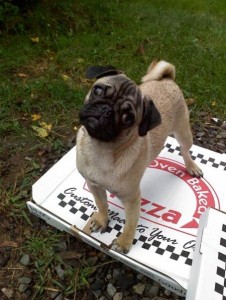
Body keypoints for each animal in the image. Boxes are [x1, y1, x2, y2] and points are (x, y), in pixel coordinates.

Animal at [76, 60, 203, 253]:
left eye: (127, 118)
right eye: (98, 90)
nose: (106, 109)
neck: (101, 149)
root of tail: (167, 79)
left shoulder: (132, 198)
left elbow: (130, 223)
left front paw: (123, 243)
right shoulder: (94, 186)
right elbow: (101, 204)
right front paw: (101, 219)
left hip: (183, 132)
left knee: (185, 150)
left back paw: (192, 166)